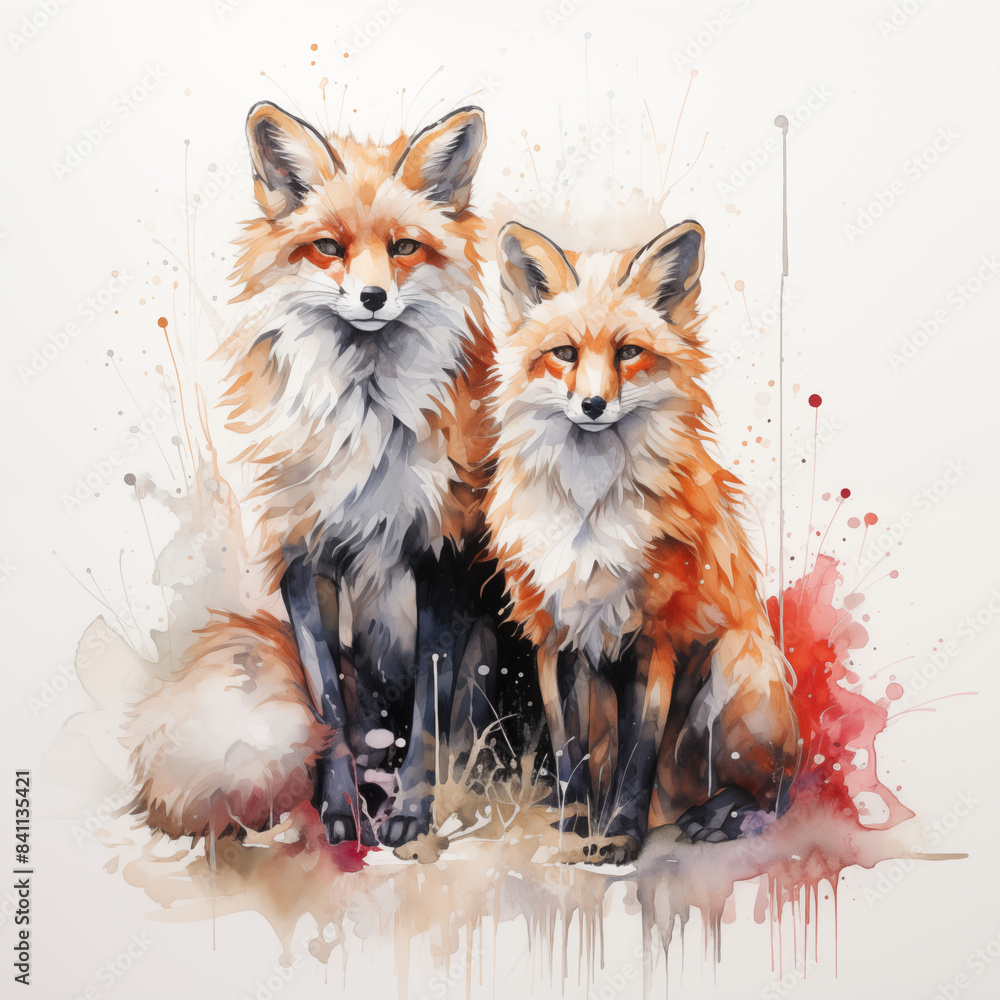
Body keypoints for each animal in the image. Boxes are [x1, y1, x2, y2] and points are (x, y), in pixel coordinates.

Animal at [128, 101, 515, 849]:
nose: (371, 296)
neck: (367, 424)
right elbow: (327, 712)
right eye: (329, 248)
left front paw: (414, 813)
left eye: (404, 248)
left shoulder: (443, 558)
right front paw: (341, 813)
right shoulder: (303, 561)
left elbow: (429, 714)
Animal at [485, 220, 801, 864]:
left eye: (628, 353)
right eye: (565, 354)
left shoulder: (654, 641)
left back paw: (720, 815)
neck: (589, 517)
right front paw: (576, 823)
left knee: (778, 790)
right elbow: (569, 756)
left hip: (737, 667)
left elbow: (637, 762)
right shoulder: (556, 640)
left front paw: (618, 837)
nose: (593, 405)